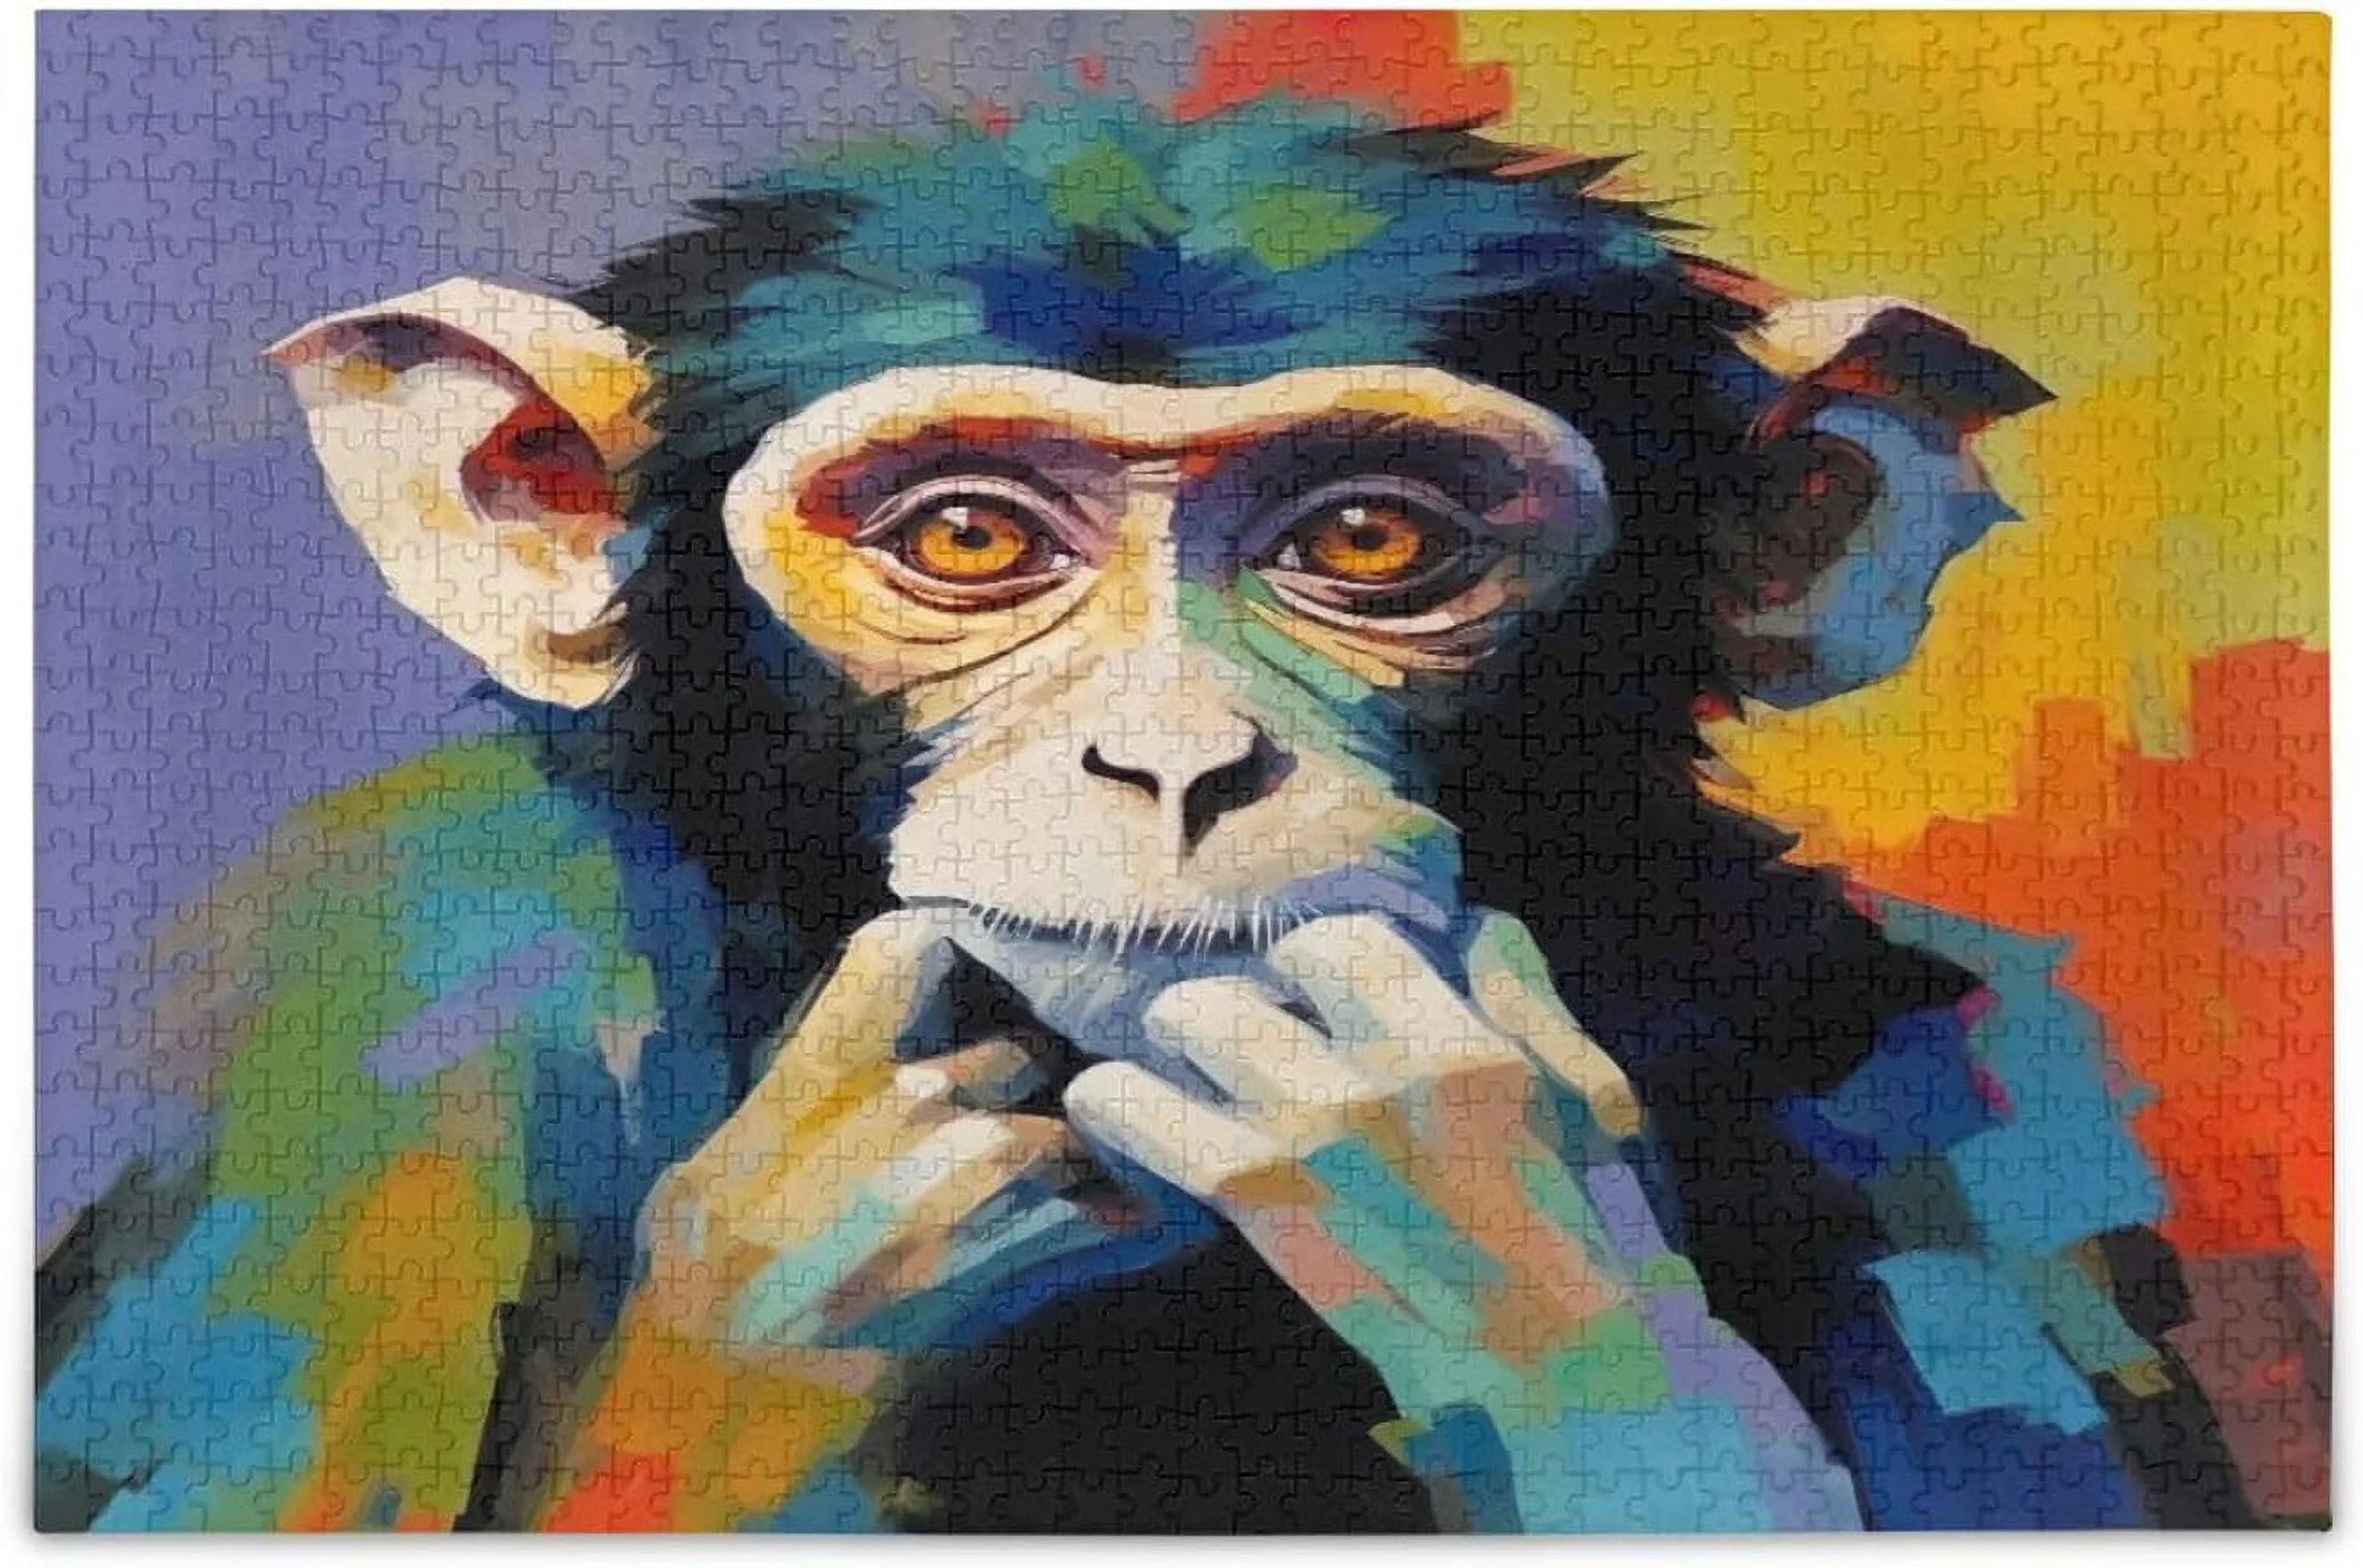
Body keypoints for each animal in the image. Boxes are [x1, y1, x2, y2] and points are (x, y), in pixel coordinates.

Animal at [34, 97, 2251, 1533]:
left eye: (1367, 538)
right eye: (968, 536)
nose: (1176, 761)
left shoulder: (1954, 1104)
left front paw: (1488, 1212)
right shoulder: (391, 1035)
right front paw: (792, 1280)